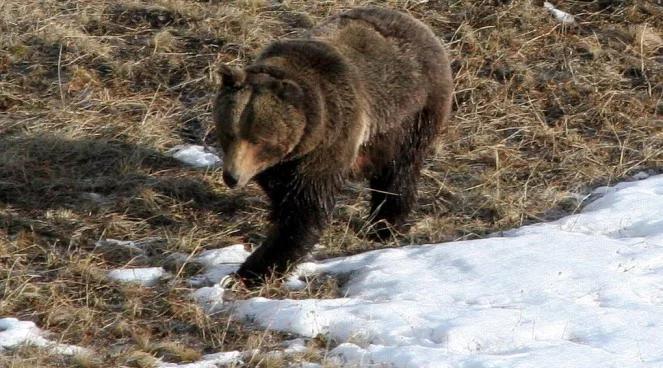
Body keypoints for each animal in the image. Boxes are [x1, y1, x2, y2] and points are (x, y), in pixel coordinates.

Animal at [215, 7, 454, 284]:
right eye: (229, 133)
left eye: (258, 139)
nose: (232, 177)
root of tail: (419, 25)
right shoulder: (282, 164)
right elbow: (282, 195)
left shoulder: (331, 139)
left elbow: (305, 209)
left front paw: (254, 269)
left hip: (411, 115)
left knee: (398, 172)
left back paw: (383, 226)